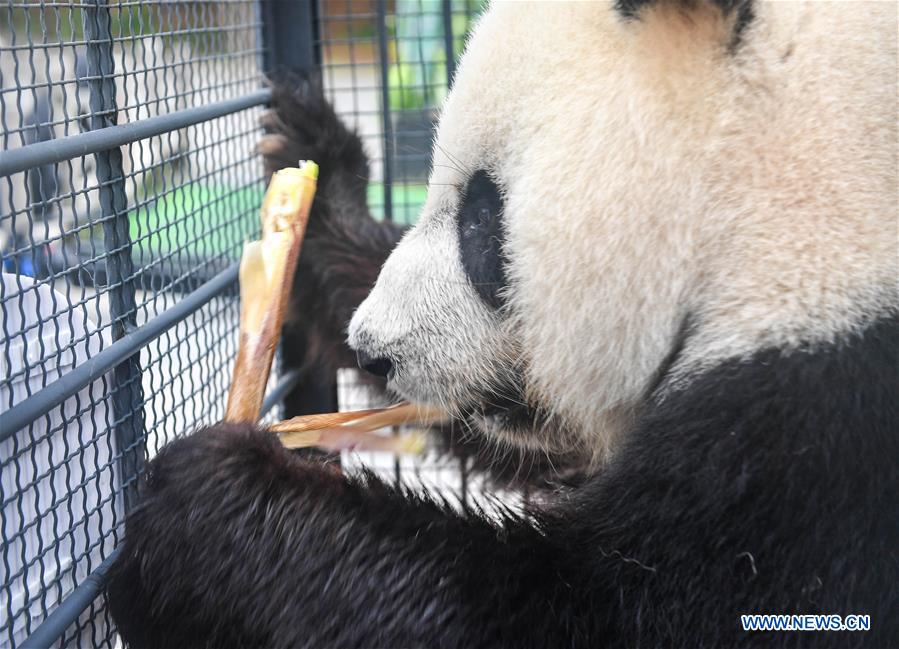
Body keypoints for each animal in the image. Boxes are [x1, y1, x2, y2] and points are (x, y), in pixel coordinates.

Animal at [108, 1, 898, 647]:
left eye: (480, 220)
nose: (374, 350)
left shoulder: (824, 442)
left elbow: (577, 613)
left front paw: (197, 514)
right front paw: (315, 169)